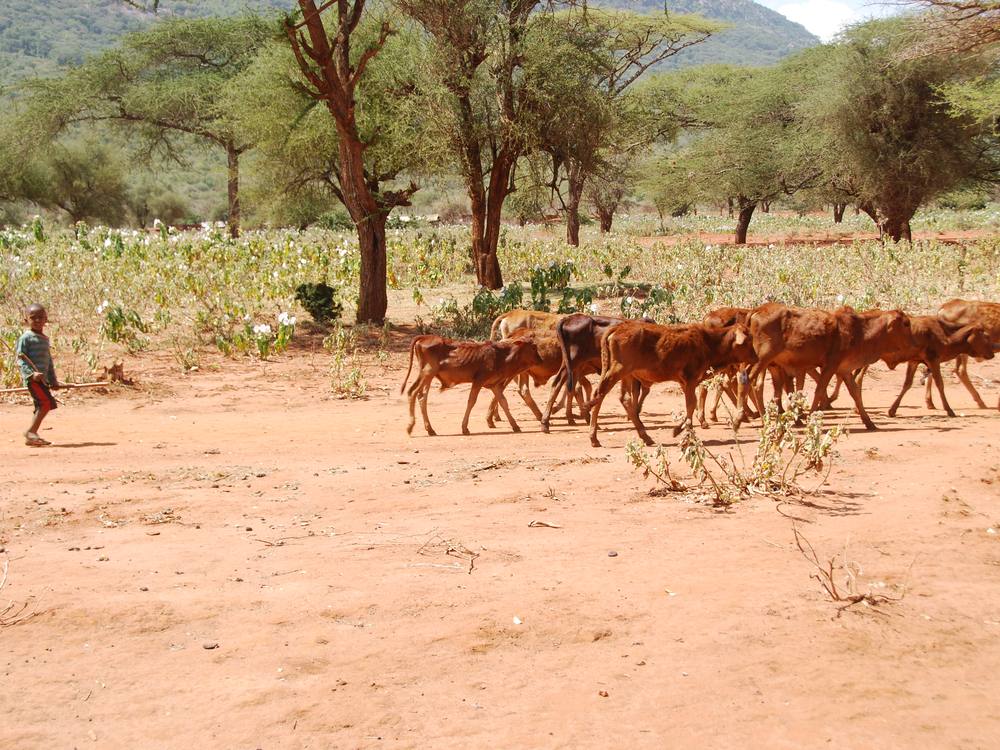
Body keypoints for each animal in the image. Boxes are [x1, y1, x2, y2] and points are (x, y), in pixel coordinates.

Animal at [401, 335, 542, 436]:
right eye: (533, 347)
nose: (540, 360)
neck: (501, 357)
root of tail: (424, 337)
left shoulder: (494, 385)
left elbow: (503, 402)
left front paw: (515, 426)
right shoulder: (478, 381)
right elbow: (471, 401)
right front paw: (464, 428)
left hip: (427, 377)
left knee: (421, 397)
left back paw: (430, 429)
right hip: (428, 373)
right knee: (412, 392)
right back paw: (410, 427)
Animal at [588, 321, 756, 448]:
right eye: (748, 341)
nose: (756, 356)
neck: (709, 342)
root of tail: (619, 327)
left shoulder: (686, 383)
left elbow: (691, 405)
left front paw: (680, 430)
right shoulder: (690, 380)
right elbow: (691, 405)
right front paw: (685, 433)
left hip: (627, 375)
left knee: (624, 399)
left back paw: (646, 436)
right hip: (618, 371)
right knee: (599, 394)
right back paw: (594, 437)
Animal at [738, 304, 914, 430]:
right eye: (906, 324)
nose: (913, 341)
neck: (860, 331)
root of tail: (757, 310)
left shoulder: (844, 370)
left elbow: (855, 393)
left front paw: (869, 422)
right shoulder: (830, 366)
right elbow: (819, 390)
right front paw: (809, 417)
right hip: (763, 359)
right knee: (751, 382)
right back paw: (748, 418)